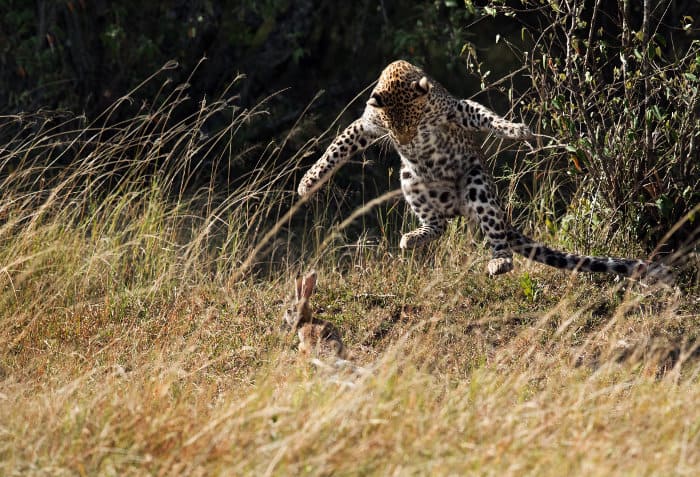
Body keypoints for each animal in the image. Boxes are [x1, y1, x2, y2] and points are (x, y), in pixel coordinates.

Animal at [298, 59, 668, 282]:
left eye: (413, 124)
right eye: (393, 128)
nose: (404, 142)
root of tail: (457, 207)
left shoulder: (456, 109)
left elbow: (485, 116)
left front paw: (516, 130)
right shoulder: (366, 125)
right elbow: (337, 147)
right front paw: (309, 182)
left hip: (477, 183)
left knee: (496, 236)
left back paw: (498, 261)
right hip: (411, 181)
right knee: (438, 225)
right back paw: (414, 237)